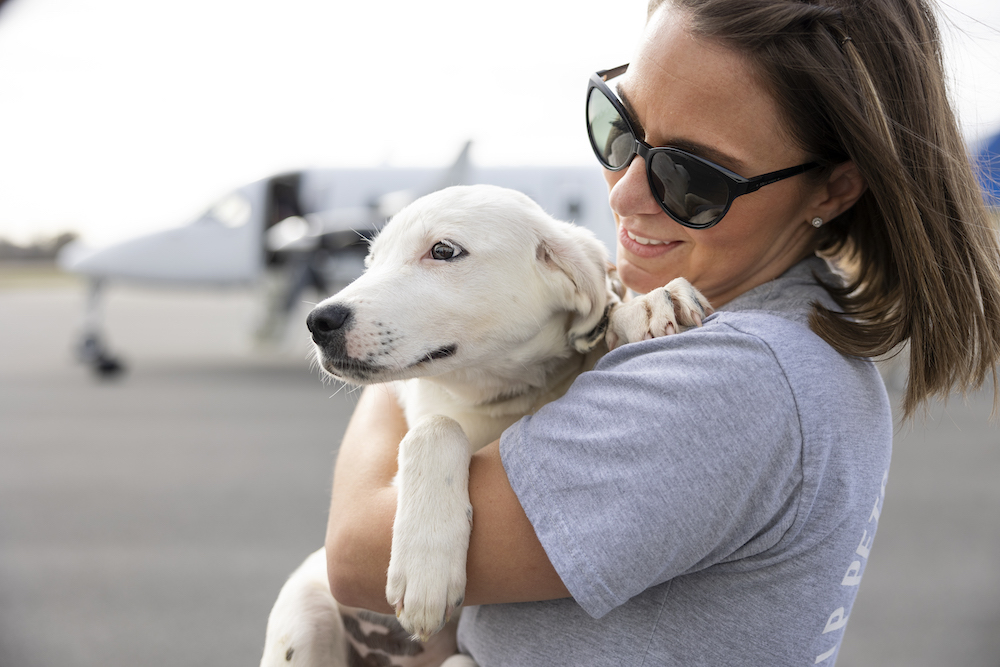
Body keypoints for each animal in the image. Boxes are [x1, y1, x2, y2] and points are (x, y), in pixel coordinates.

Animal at [260, 185, 712, 667]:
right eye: (371, 261)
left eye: (443, 250)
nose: (318, 322)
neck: (501, 396)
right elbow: (436, 426)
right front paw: (426, 568)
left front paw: (646, 303)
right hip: (306, 608)